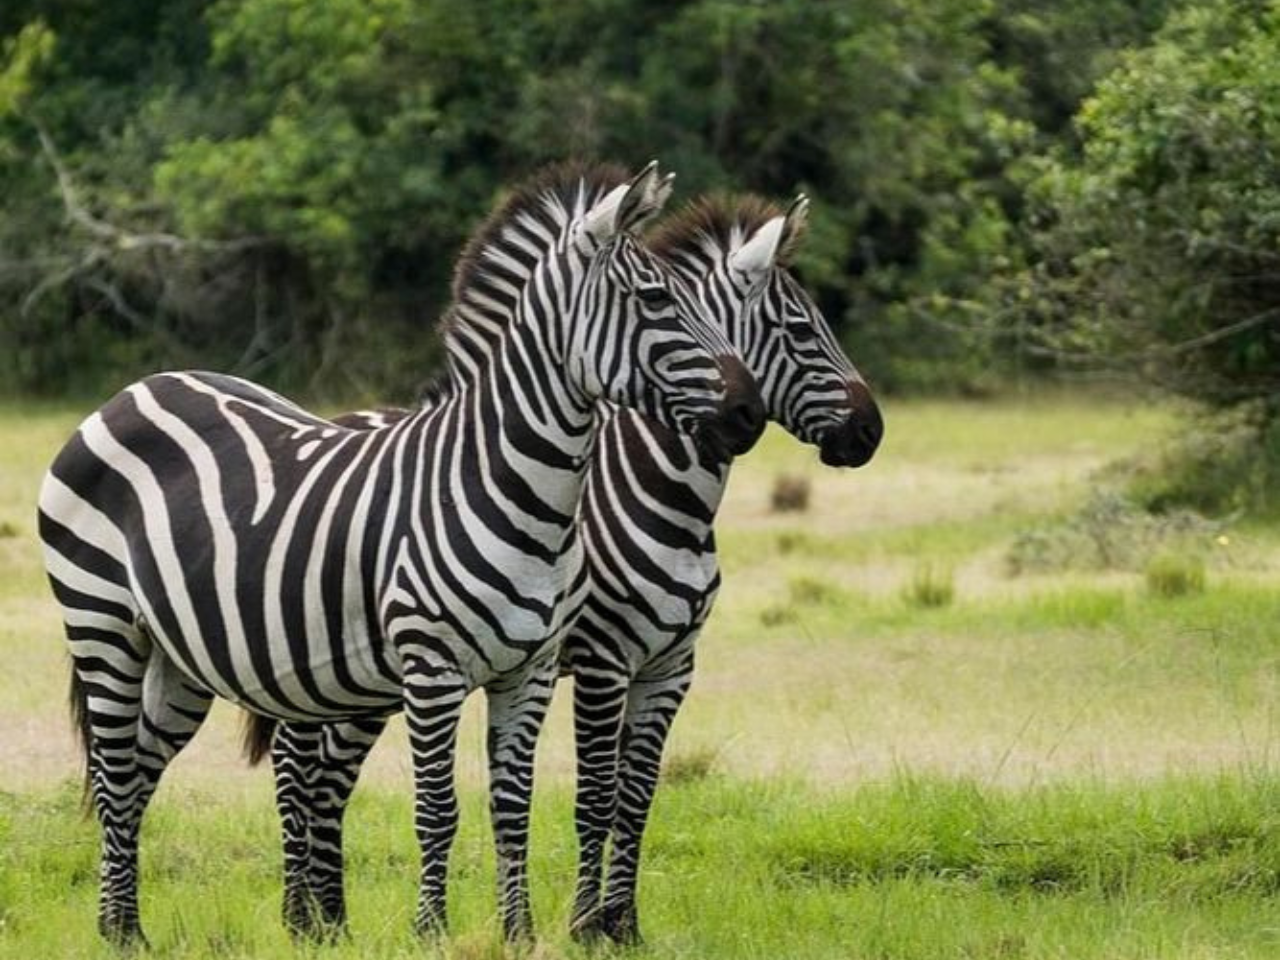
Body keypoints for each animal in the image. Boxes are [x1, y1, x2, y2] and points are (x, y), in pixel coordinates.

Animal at [37, 160, 766, 947]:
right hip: (103, 624)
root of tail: (133, 390)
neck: (518, 489)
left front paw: (517, 934)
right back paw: (124, 932)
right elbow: (438, 810)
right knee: (116, 772)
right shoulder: (434, 665)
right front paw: (433, 931)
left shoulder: (532, 669)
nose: (749, 413)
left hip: (180, 656)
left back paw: (126, 925)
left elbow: (512, 807)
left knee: (139, 770)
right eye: (656, 298)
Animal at [244, 192, 884, 944]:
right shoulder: (605, 659)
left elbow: (638, 797)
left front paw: (624, 925)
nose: (871, 432)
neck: (664, 493)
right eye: (799, 329)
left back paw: (325, 921)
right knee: (299, 768)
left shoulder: (671, 665)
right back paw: (303, 918)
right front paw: (586, 925)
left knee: (324, 776)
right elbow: (598, 796)